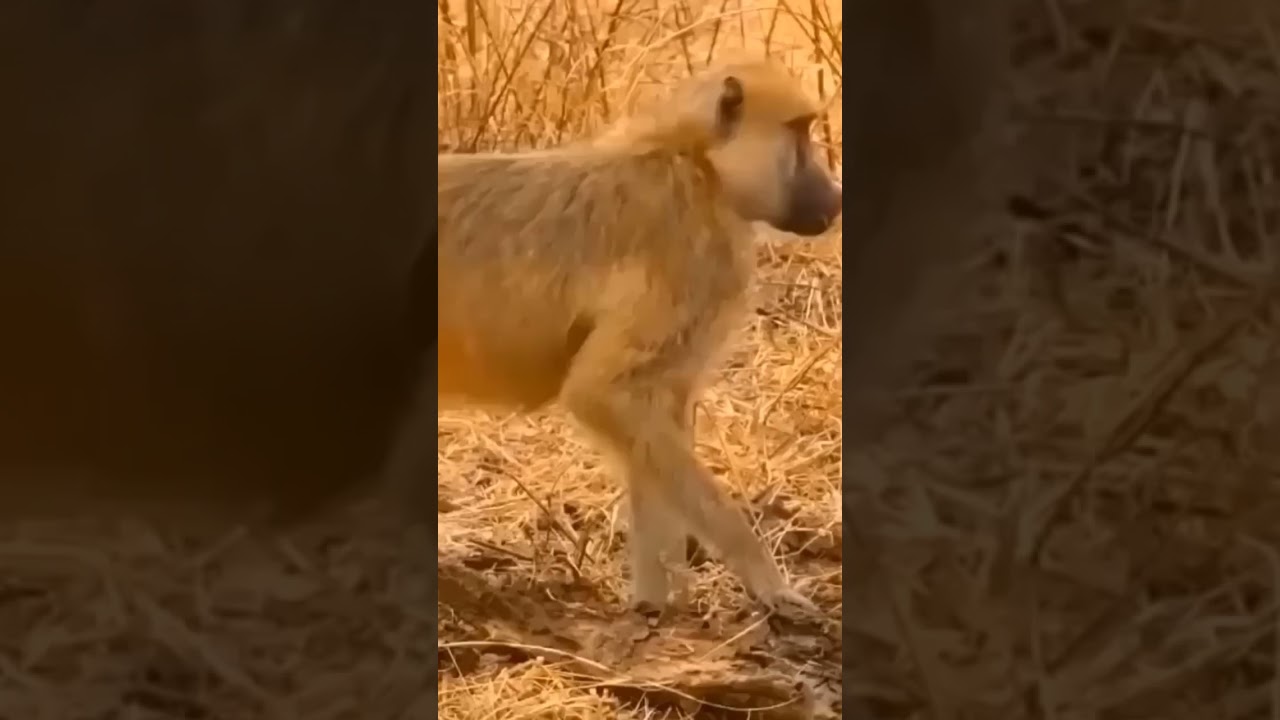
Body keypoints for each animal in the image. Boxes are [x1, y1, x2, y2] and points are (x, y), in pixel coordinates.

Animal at [401, 60, 842, 616]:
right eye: (799, 132)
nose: (836, 197)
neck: (699, 165)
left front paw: (657, 606)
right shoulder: (691, 256)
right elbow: (600, 392)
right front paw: (769, 585)